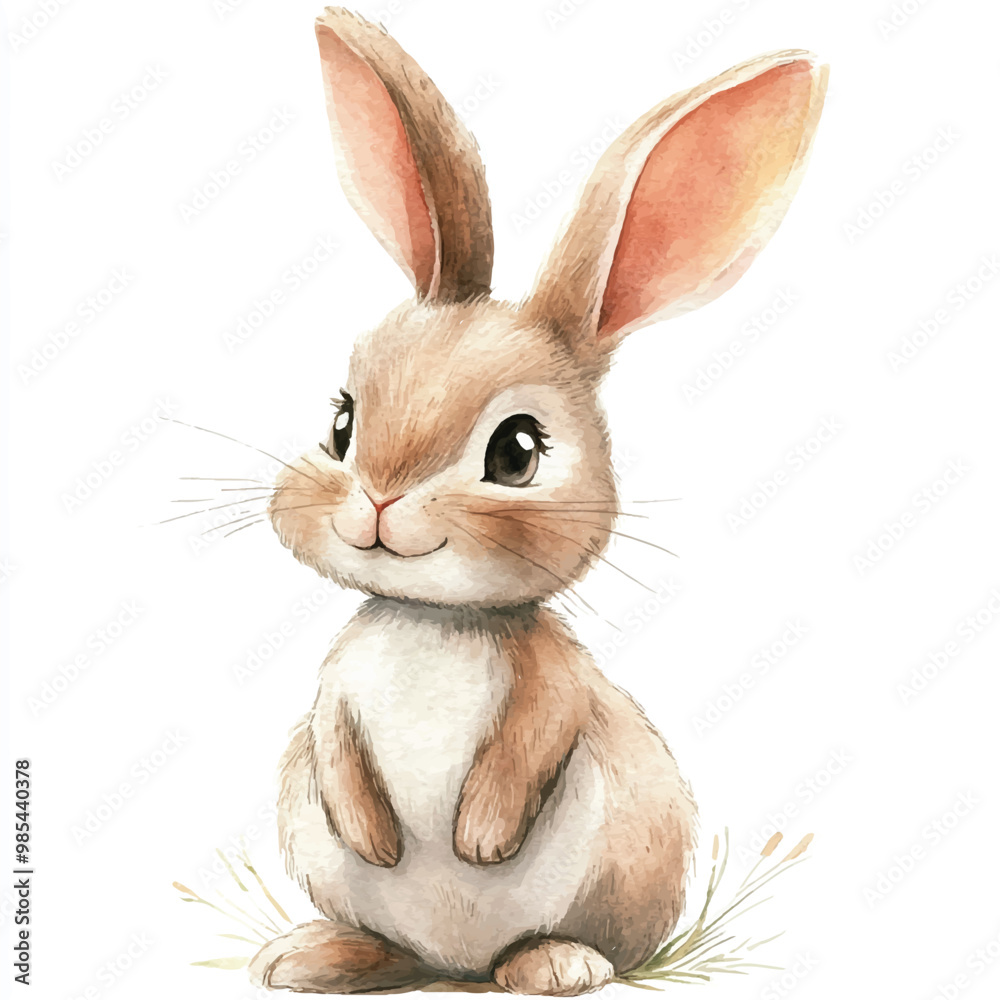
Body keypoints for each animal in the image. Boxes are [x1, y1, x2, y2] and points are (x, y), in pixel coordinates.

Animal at [247, 7, 827, 995]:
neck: (434, 622)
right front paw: (380, 838)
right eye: (342, 422)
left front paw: (479, 839)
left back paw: (554, 963)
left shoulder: (551, 687)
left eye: (516, 452)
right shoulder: (336, 692)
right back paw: (312, 954)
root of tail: (456, 968)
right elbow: (336, 746)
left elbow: (535, 736)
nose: (378, 501)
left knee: (564, 948)